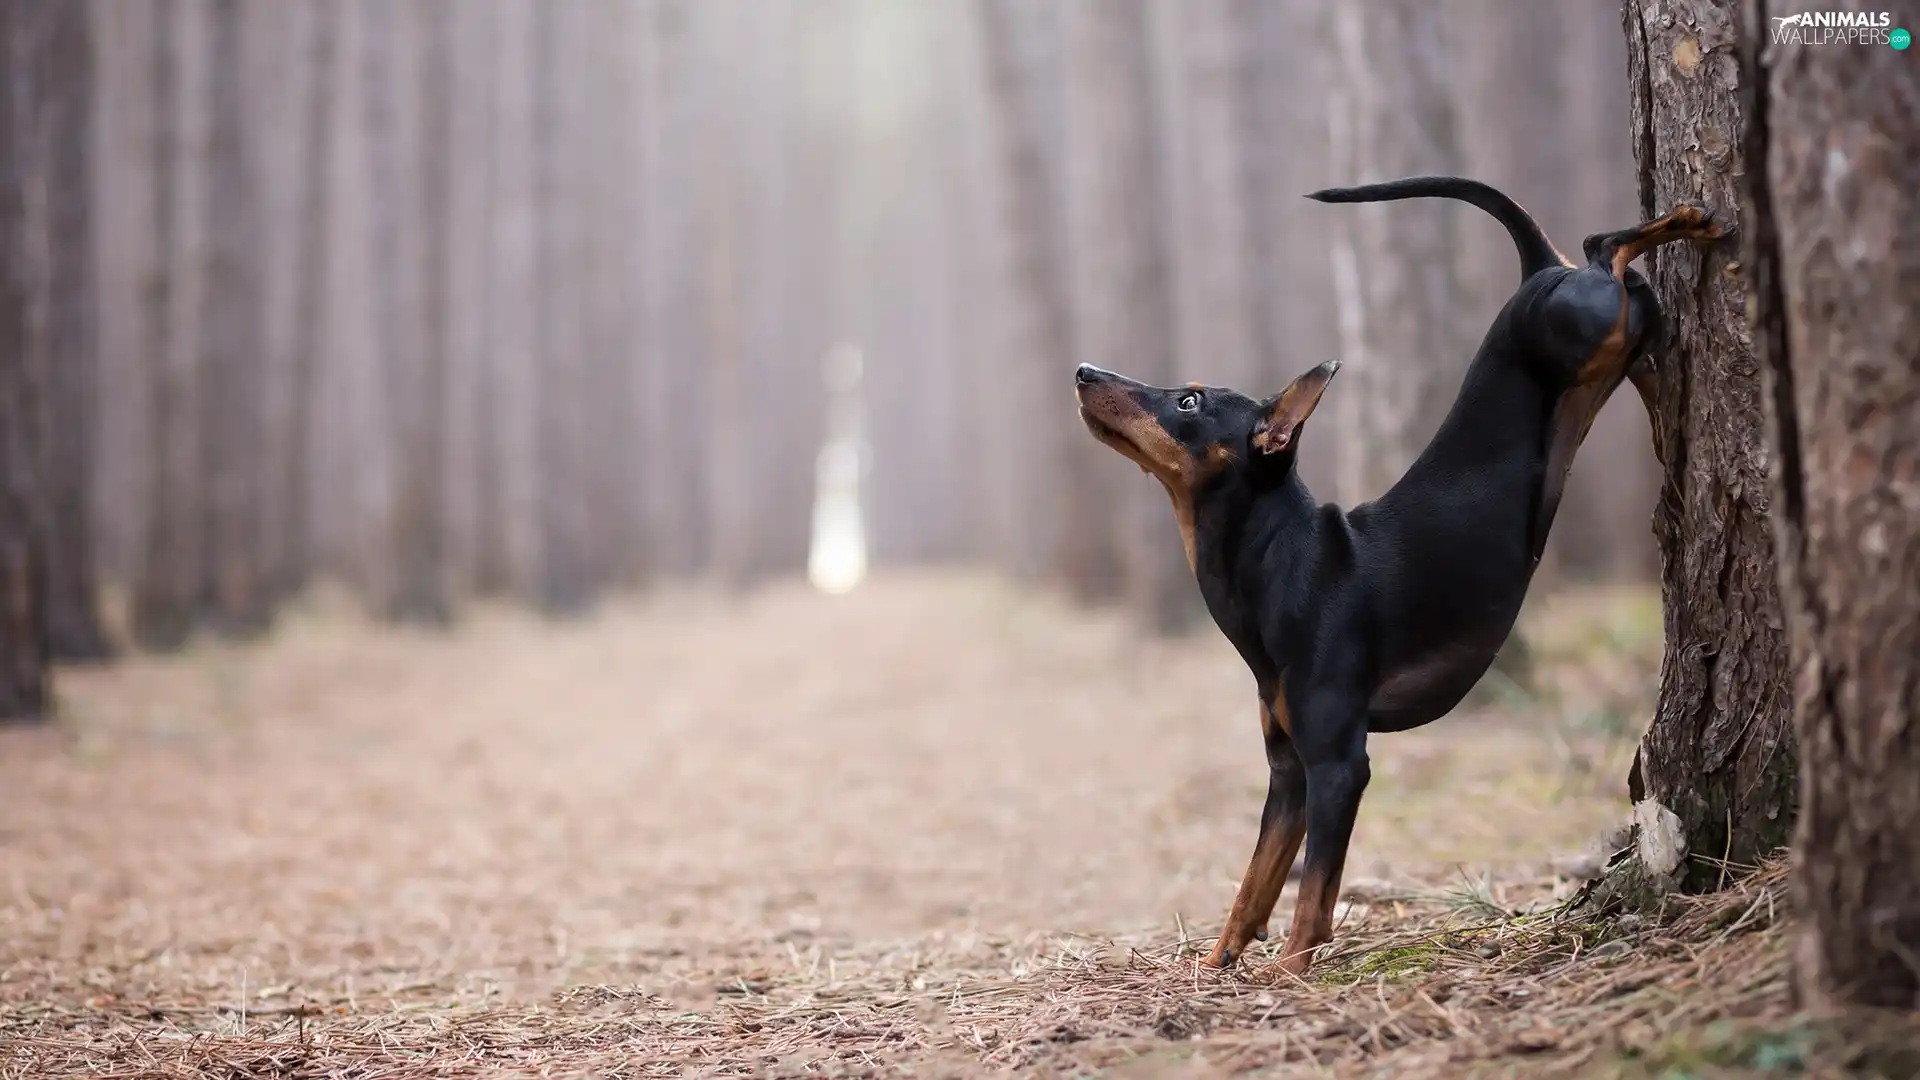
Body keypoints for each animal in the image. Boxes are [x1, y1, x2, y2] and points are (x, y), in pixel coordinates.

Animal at [1082, 178, 1728, 976]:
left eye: (1190, 401)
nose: (1084, 372)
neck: (1278, 563)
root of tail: (1535, 272)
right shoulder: (1288, 771)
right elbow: (1255, 884)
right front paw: (1217, 966)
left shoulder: (1338, 764)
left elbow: (1312, 894)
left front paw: (1291, 971)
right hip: (1608, 347)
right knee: (1623, 297)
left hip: (1576, 319)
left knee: (1605, 246)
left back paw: (1687, 220)